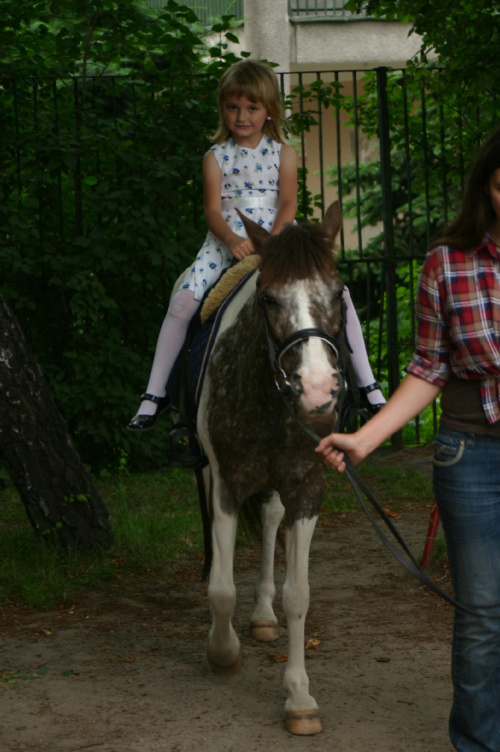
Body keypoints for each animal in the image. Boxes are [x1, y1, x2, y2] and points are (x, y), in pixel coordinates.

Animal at [195, 200, 348, 736]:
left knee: (269, 520)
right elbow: (221, 588)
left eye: (339, 293)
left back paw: (262, 614)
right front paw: (223, 652)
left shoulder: (307, 487)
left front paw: (299, 697)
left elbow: (297, 594)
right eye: (268, 299)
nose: (318, 391)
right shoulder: (224, 481)